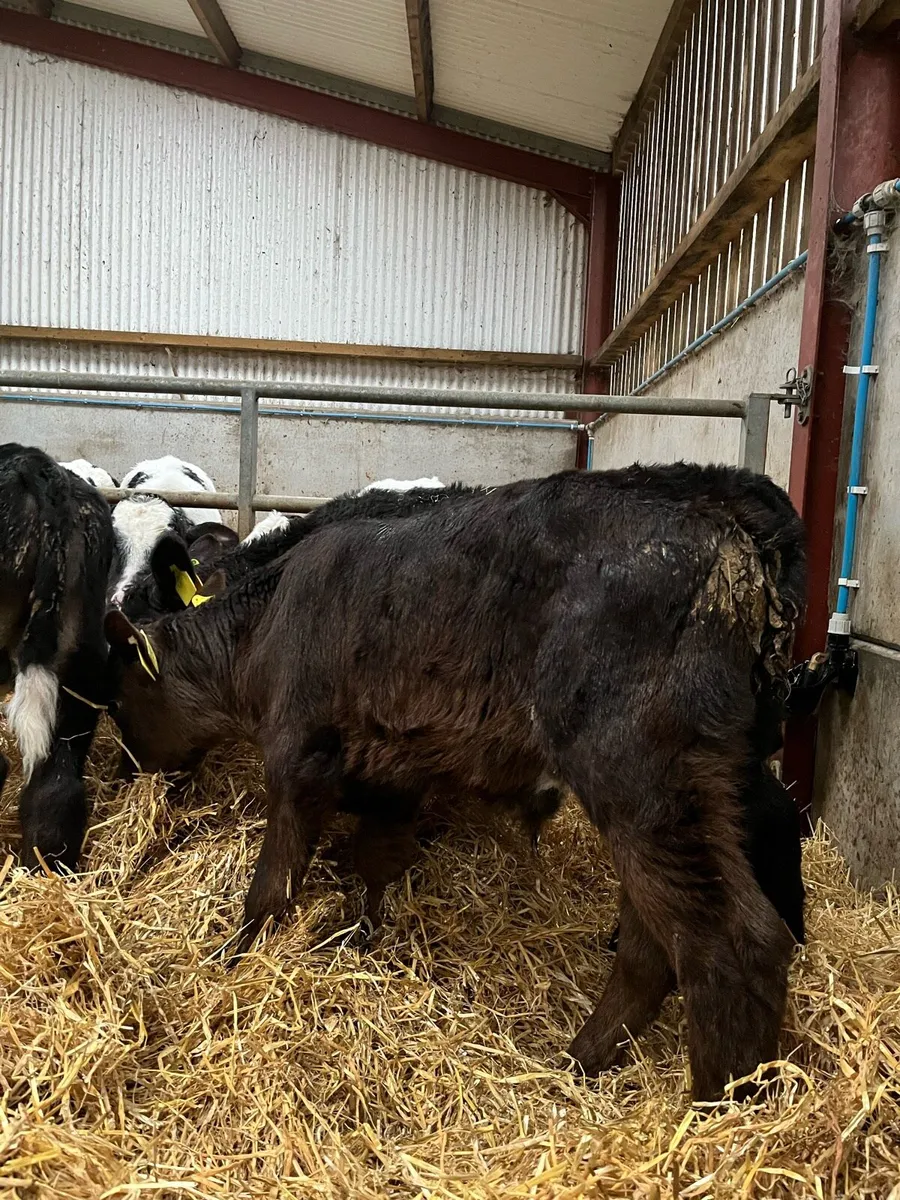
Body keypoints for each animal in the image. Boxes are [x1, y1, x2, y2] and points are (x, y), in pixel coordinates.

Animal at [104, 462, 806, 1101]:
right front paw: (362, 941)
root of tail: (725, 506)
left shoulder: (300, 754)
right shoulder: (391, 771)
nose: (127, 772)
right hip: (687, 788)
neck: (269, 617)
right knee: (650, 945)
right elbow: (375, 864)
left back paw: (718, 1105)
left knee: (729, 943)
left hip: (641, 777)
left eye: (120, 698)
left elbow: (271, 888)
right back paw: (580, 1064)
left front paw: (232, 955)